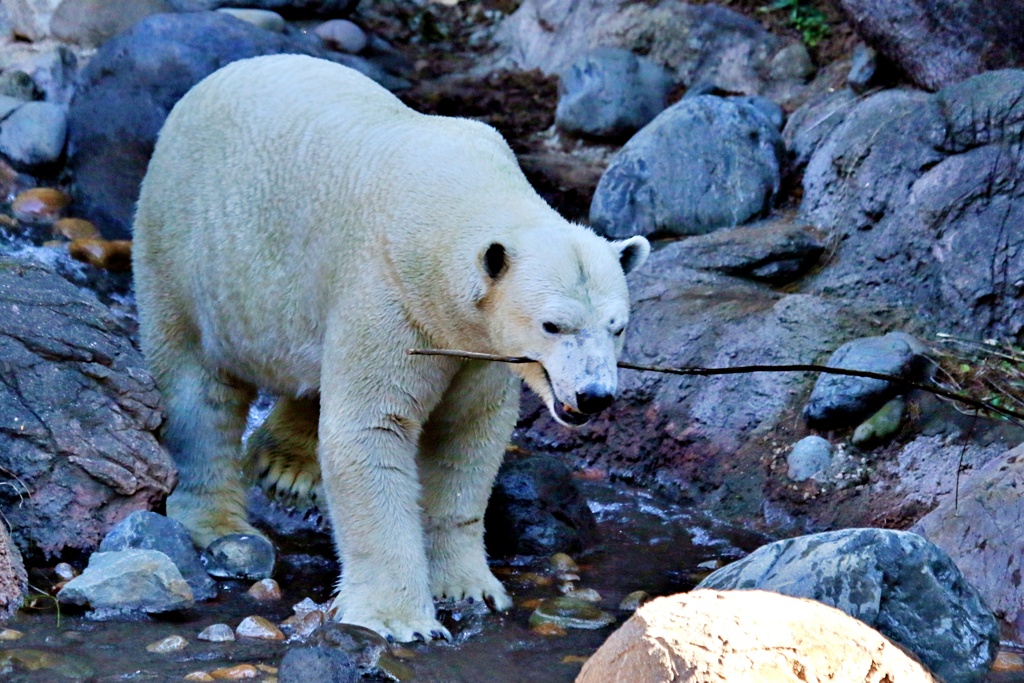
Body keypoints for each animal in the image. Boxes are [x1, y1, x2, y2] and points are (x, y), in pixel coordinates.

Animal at [132, 54, 647, 647]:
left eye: (617, 327)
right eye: (553, 325)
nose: (594, 396)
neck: (452, 196)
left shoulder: (476, 343)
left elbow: (467, 433)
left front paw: (470, 588)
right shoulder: (390, 293)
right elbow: (372, 427)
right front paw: (402, 620)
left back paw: (288, 465)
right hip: (185, 246)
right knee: (197, 388)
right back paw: (218, 526)